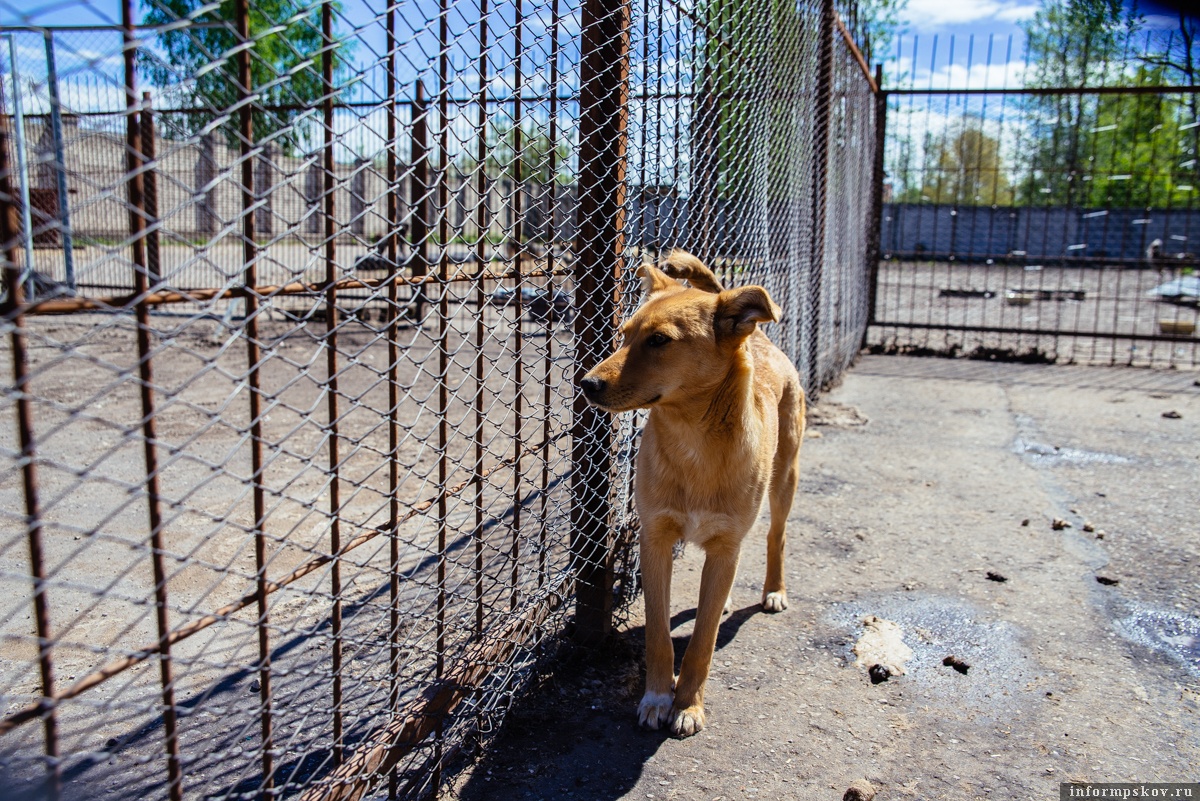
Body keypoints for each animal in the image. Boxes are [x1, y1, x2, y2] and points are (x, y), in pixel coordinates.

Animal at [580, 250, 806, 738]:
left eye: (659, 341)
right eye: (624, 336)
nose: (586, 384)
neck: (693, 443)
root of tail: (759, 337)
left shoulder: (725, 548)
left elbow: (702, 640)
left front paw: (688, 705)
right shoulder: (655, 539)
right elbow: (658, 635)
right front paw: (657, 697)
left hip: (785, 478)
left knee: (776, 535)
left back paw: (773, 589)